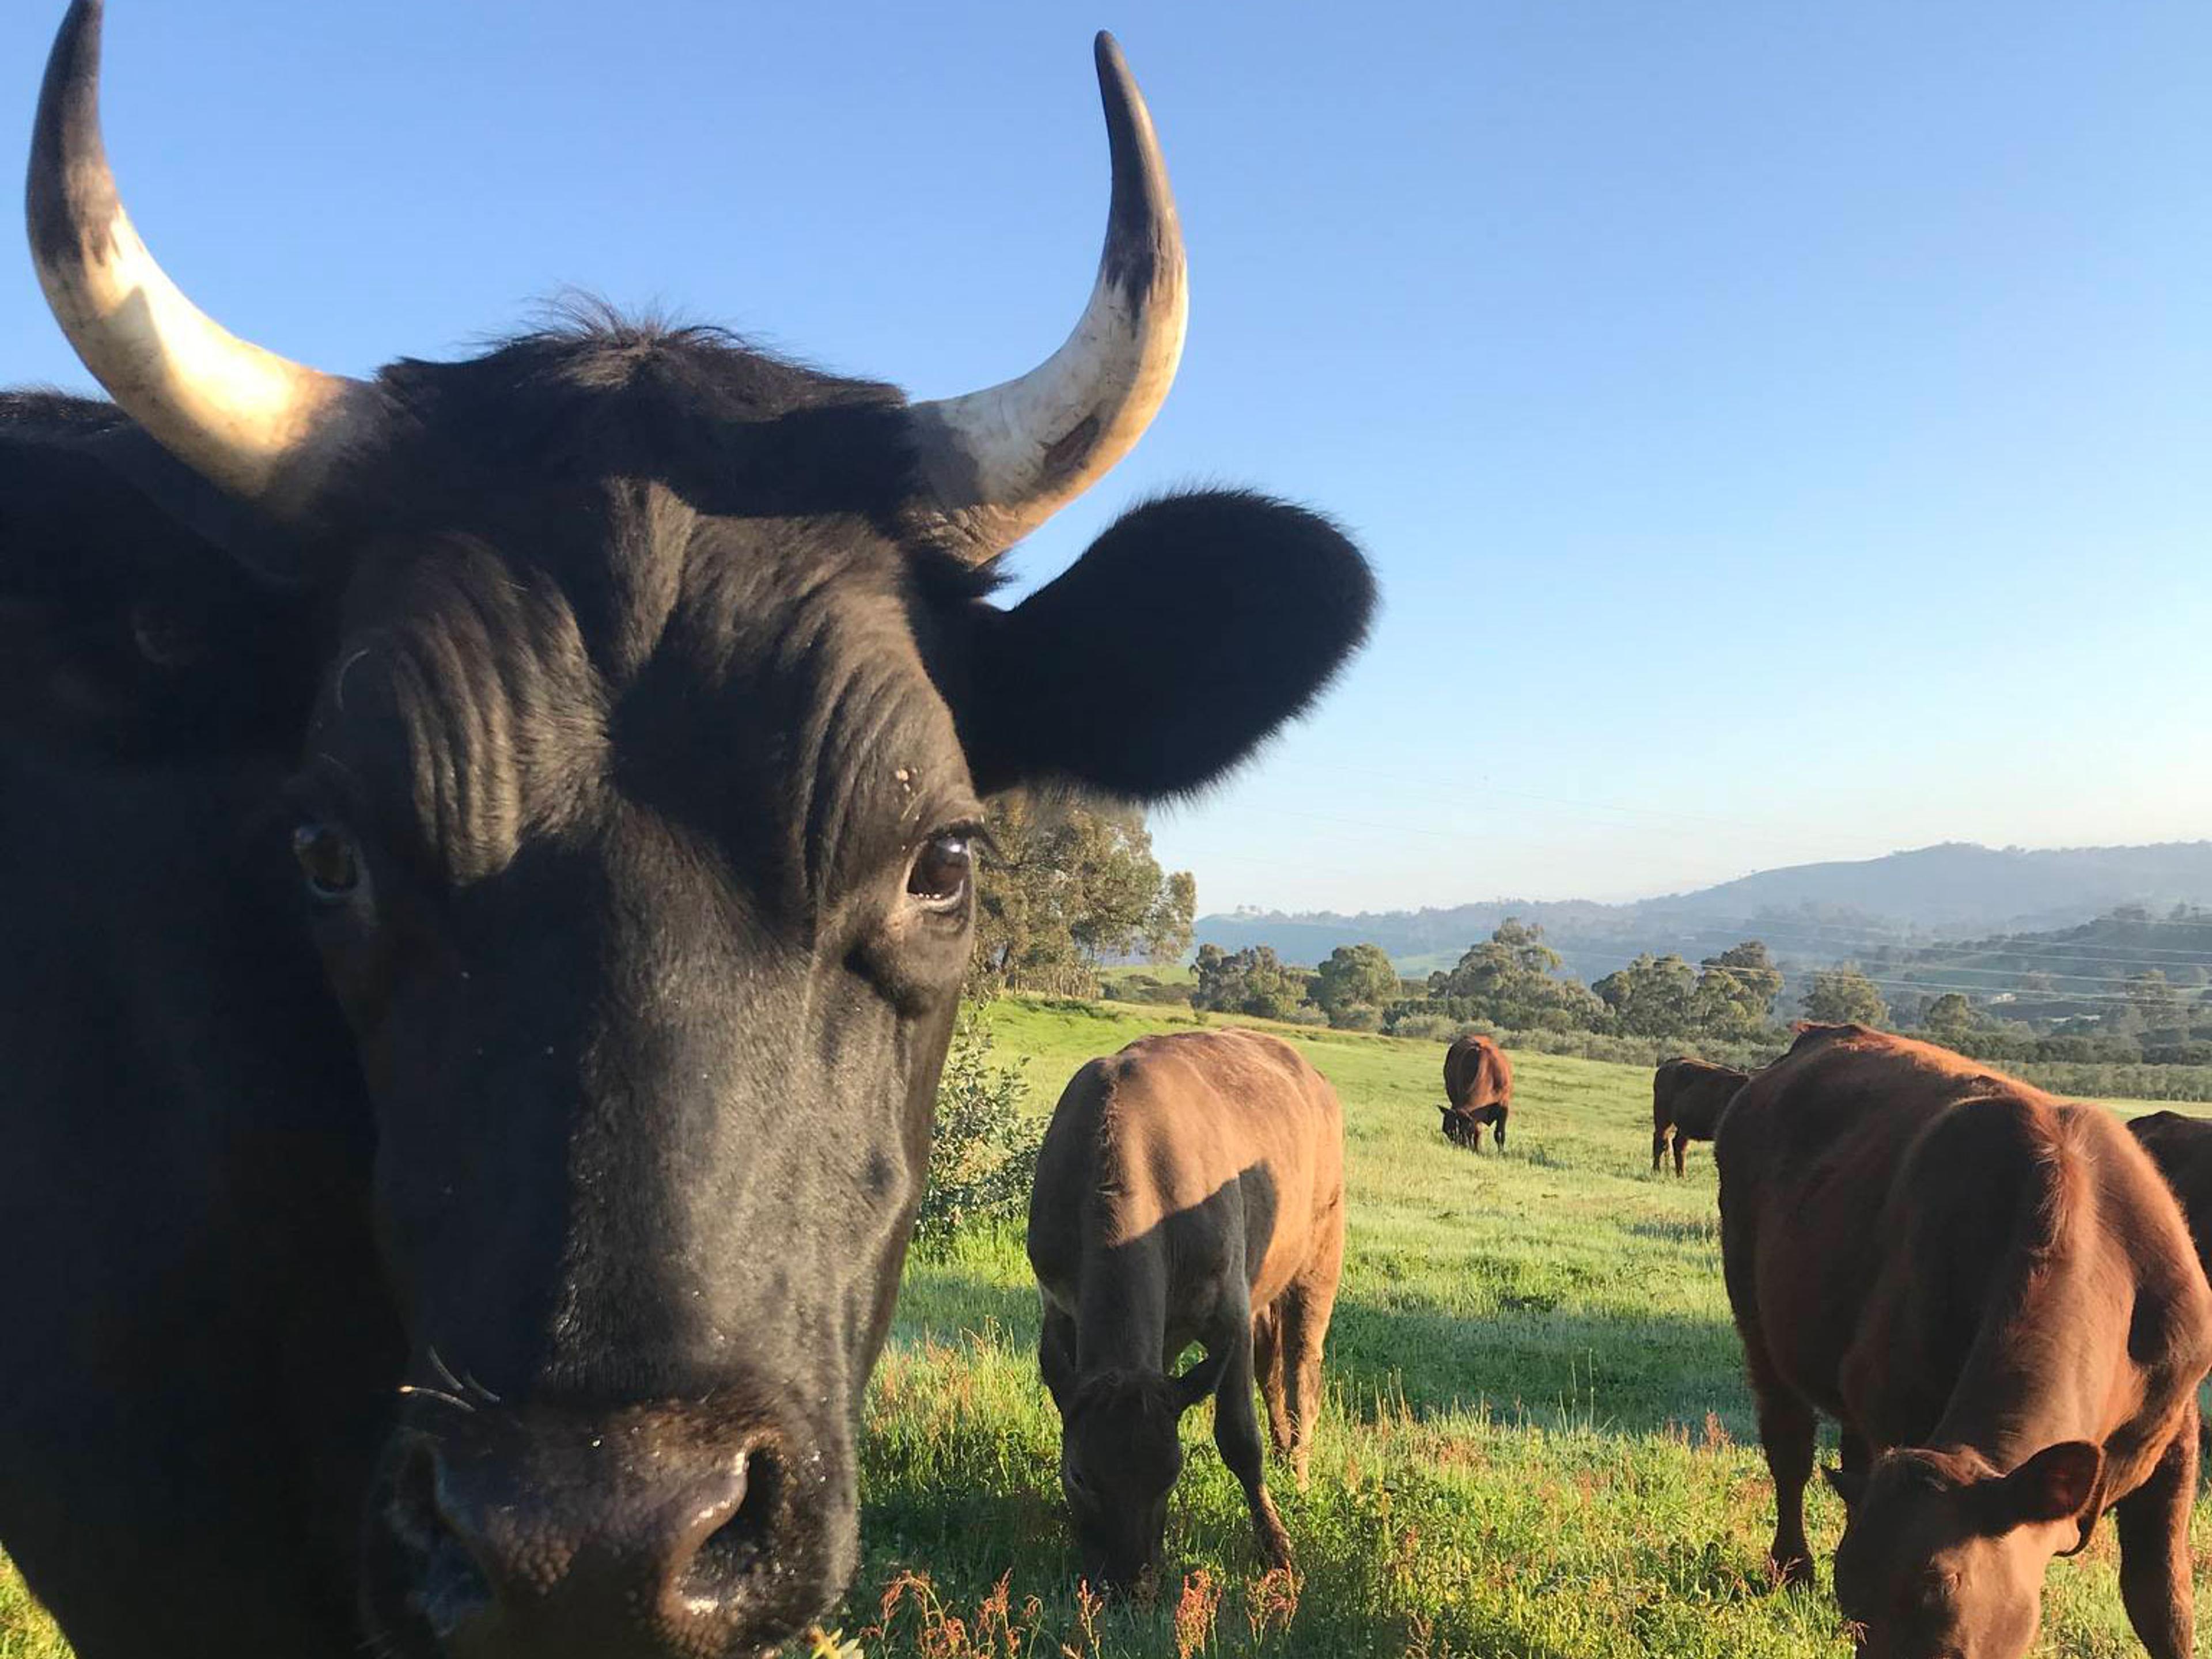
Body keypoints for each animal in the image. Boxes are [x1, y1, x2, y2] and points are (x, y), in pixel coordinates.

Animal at [1027, 1029, 1346, 1590]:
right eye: (1080, 1475)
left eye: (1171, 1474)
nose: (1131, 1583)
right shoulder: (1061, 1308)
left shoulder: (1228, 1311)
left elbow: (1239, 1439)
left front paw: (1277, 1547)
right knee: (1270, 1371)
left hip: (1320, 1254)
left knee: (1301, 1371)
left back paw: (1298, 1469)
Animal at [1440, 1031, 1512, 1150]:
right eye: (1447, 1132)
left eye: (1463, 1131)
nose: (1460, 1147)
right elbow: (1478, 1131)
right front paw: (1476, 1150)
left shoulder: (1504, 1106)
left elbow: (1499, 1134)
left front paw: (1501, 1152)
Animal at [1650, 1055, 1747, 1175]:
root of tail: (1670, 1063)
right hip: (1663, 1118)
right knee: (1660, 1140)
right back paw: (1656, 1171)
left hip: (1684, 1125)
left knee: (1678, 1144)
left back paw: (1681, 1176)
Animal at [1716, 1024, 2212, 1659]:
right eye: (1855, 1598)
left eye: (1943, 1583)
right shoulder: (1894, 1398)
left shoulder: (2175, 1431)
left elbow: (2161, 1600)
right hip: (1757, 1315)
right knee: (1789, 1446)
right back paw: (1792, 1567)